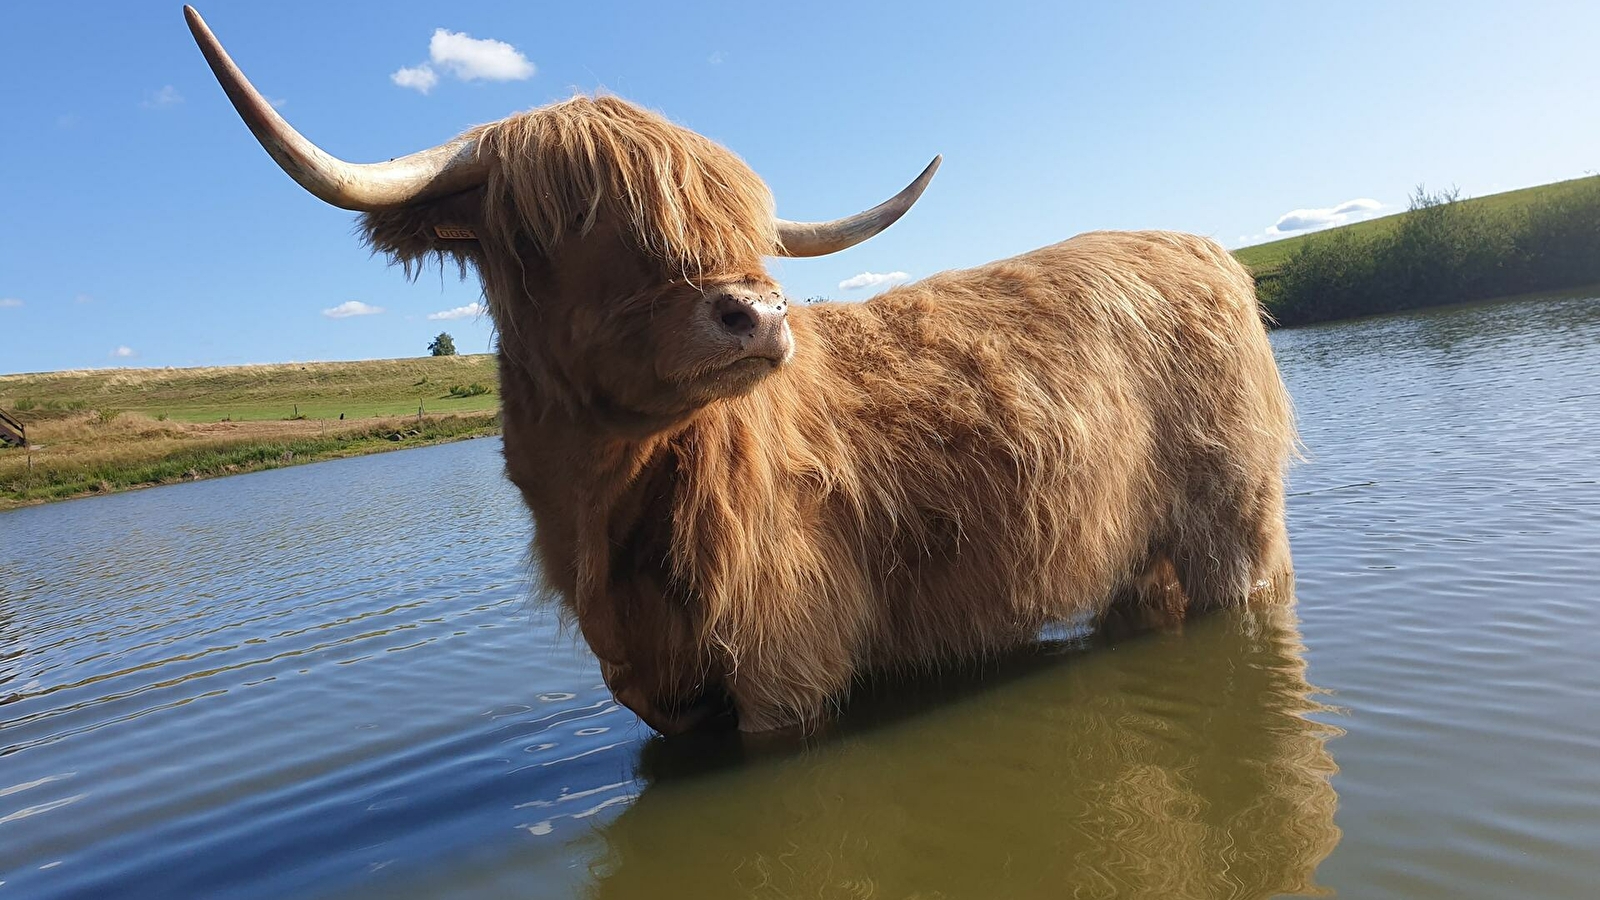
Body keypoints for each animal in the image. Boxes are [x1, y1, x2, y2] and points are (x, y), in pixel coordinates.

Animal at [187, 7, 1292, 733]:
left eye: (723, 215)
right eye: (550, 225)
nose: (756, 314)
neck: (606, 520)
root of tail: (1204, 249)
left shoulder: (785, 670)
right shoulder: (654, 696)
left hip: (1233, 524)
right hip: (1132, 551)